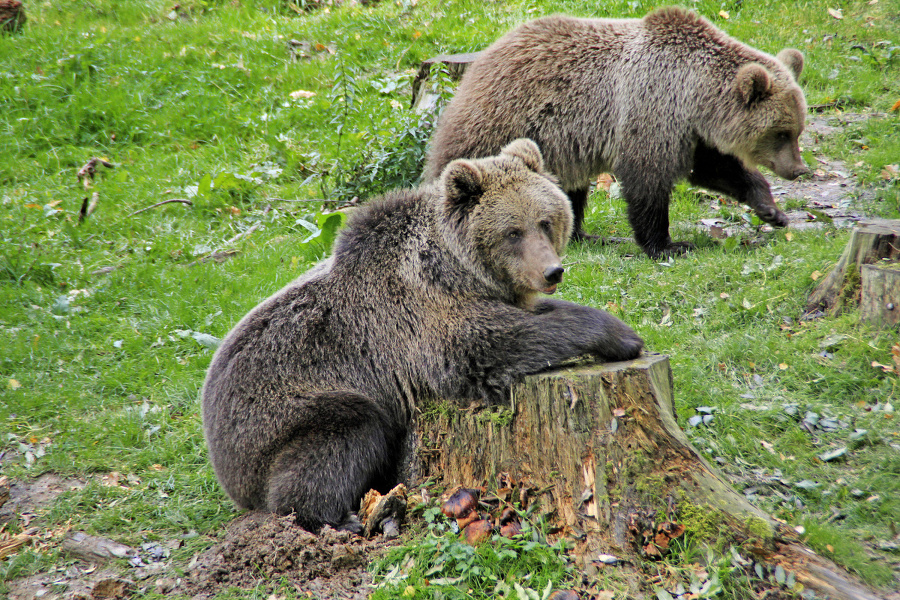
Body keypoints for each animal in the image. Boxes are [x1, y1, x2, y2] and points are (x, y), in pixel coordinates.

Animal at [200, 139, 644, 528]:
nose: (552, 271)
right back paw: (338, 518)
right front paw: (621, 336)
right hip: (280, 414)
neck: (457, 269)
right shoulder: (420, 318)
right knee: (344, 432)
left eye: (546, 220)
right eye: (512, 231)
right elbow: (493, 345)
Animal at [426, 5, 812, 258]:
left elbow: (716, 168)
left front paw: (772, 210)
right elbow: (647, 180)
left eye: (797, 129)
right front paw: (669, 245)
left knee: (568, 191)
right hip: (504, 126)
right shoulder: (652, 110)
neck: (695, 96)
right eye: (781, 132)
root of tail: (481, 61)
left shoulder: (690, 132)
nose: (798, 170)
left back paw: (585, 235)